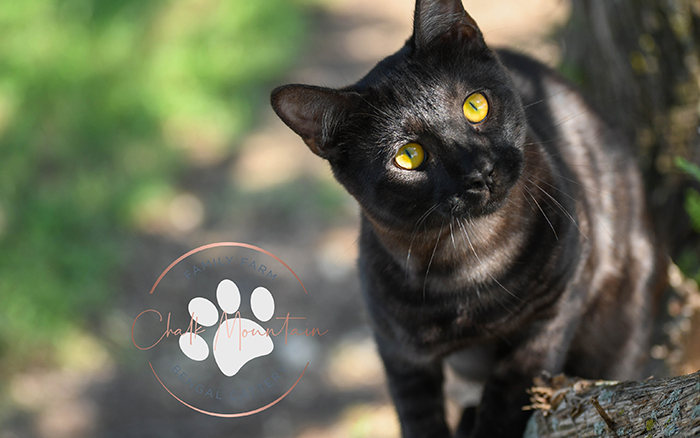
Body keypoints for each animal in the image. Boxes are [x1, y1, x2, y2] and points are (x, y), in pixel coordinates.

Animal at [268, 1, 668, 436]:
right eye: (408, 156)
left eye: (475, 105)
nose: (480, 170)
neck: (469, 265)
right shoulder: (400, 354)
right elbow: (419, 419)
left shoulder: (552, 311)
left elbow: (511, 388)